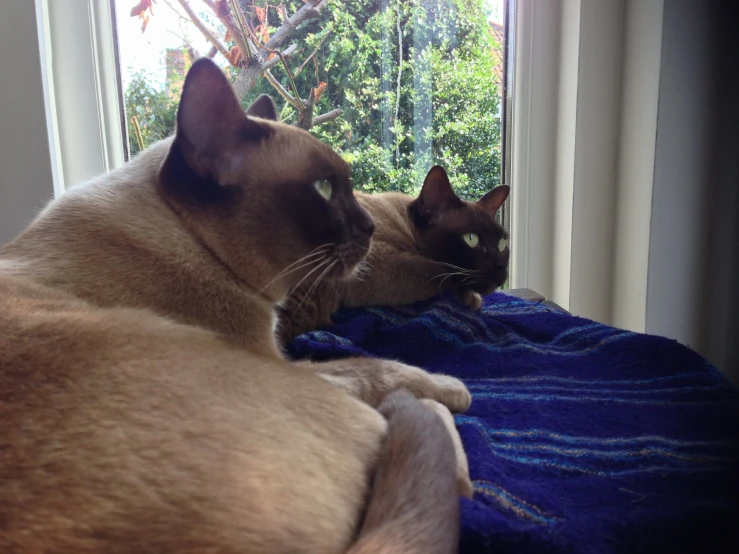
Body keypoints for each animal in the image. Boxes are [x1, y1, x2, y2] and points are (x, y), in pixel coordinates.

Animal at [0, 57, 468, 552]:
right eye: (324, 188)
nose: (370, 227)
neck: (187, 239)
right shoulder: (279, 363)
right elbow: (383, 368)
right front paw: (452, 387)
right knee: (434, 444)